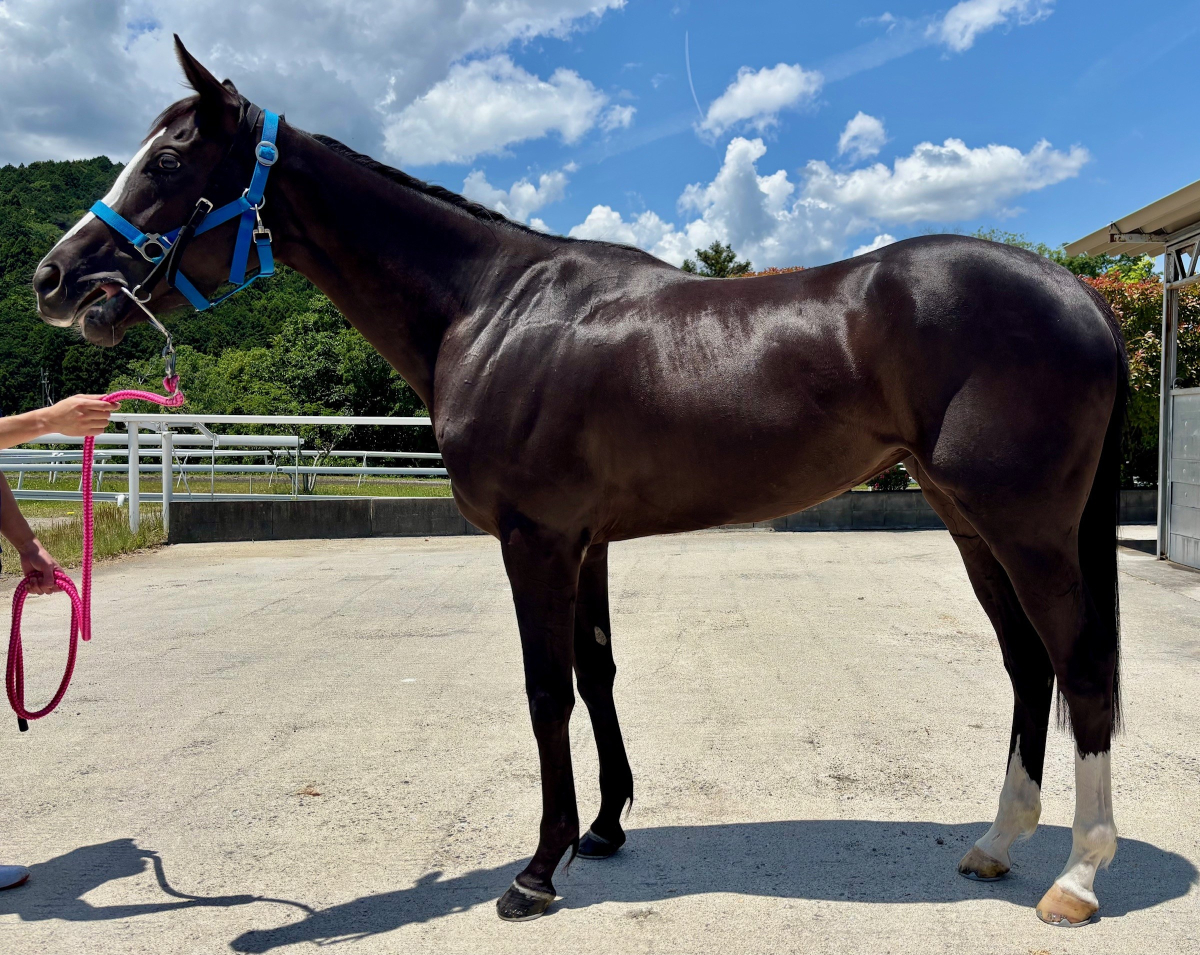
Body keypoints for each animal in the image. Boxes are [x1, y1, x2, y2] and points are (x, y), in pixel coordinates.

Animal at [33, 37, 1126, 927]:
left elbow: (544, 691)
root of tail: (1079, 292)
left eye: (168, 161)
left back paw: (1077, 877)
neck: (491, 309)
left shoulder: (537, 540)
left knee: (1081, 671)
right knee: (1029, 669)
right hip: (968, 523)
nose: (54, 280)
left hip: (1026, 529)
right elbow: (597, 674)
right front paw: (603, 829)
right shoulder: (587, 540)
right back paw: (997, 844)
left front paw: (537, 870)